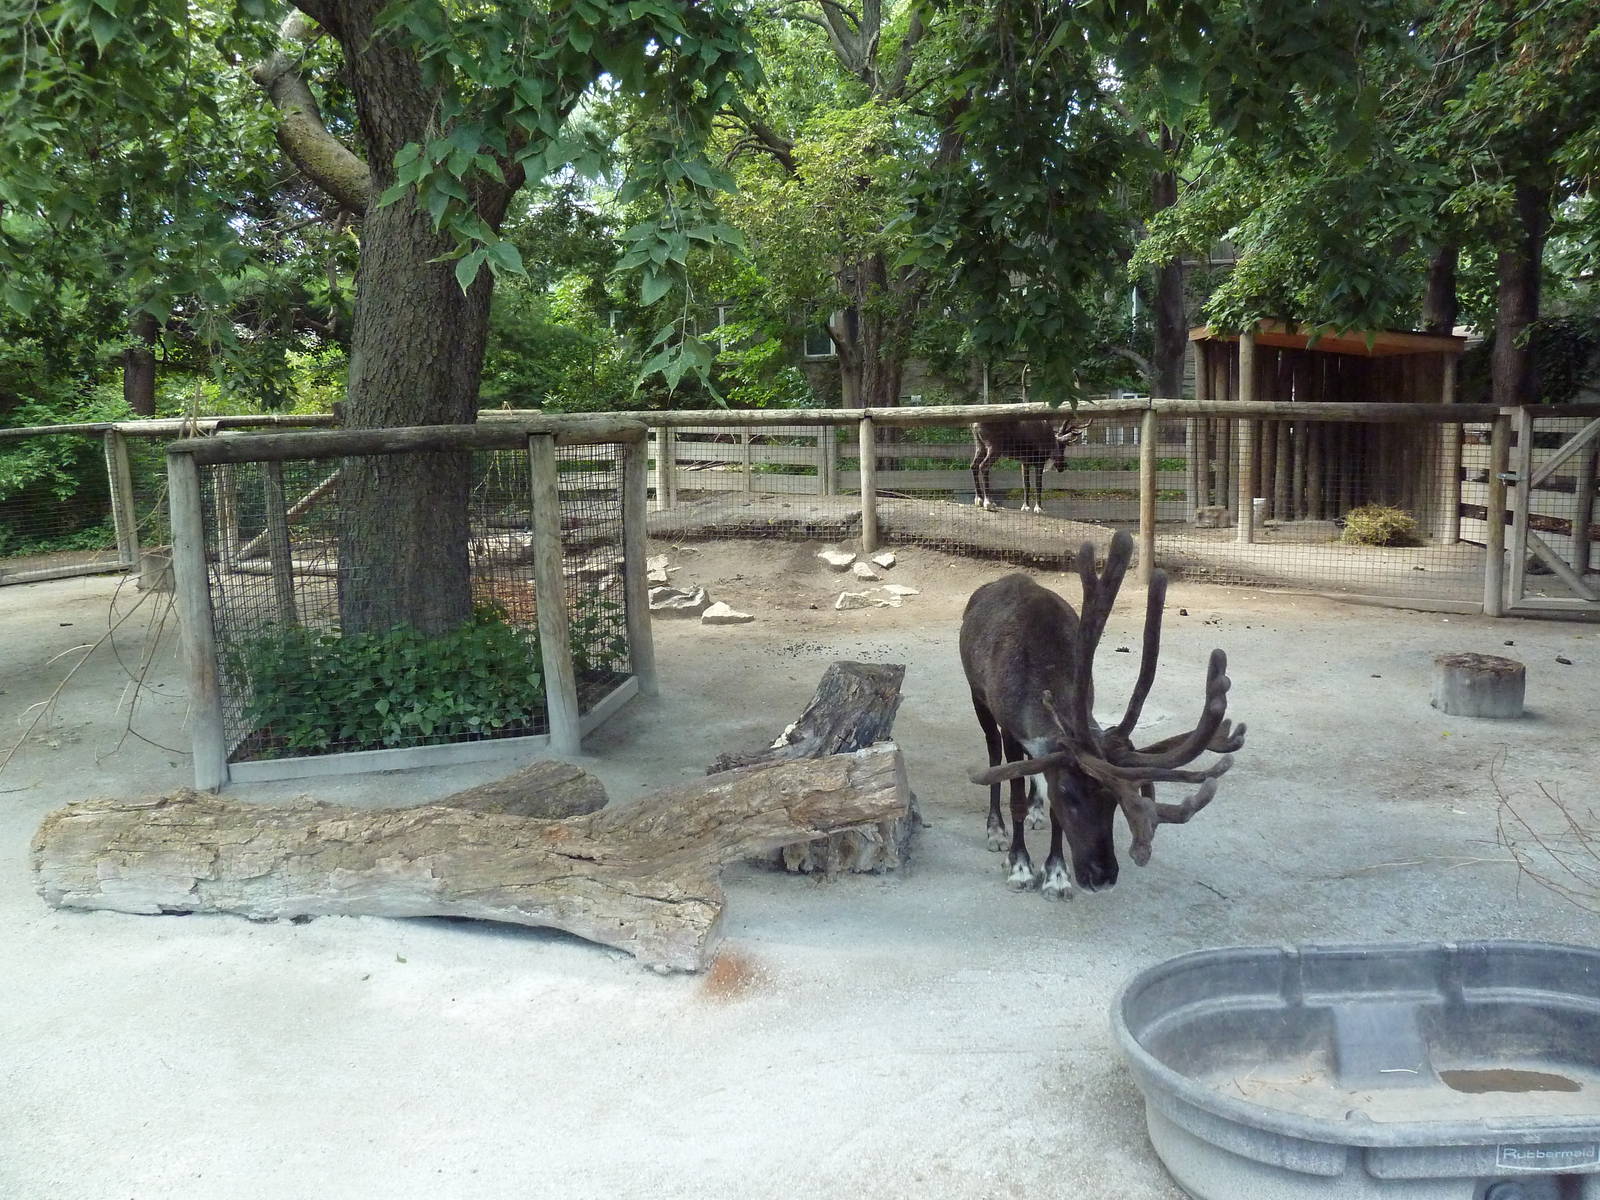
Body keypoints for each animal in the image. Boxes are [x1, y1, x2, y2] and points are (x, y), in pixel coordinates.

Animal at [958, 530, 1245, 899]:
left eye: (1113, 802)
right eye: (1069, 793)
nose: (1104, 876)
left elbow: (1048, 800)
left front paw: (1057, 874)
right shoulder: (1010, 724)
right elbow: (1015, 792)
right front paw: (1021, 866)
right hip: (977, 696)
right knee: (994, 754)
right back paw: (995, 830)